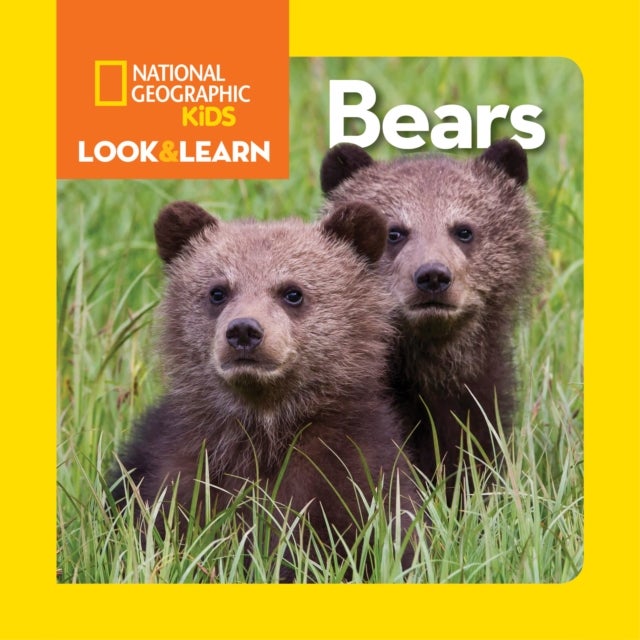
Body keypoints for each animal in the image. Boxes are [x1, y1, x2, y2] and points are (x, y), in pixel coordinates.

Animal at [111, 200, 418, 580]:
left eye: (292, 292)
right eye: (218, 291)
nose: (244, 330)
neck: (266, 425)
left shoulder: (355, 469)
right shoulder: (173, 471)